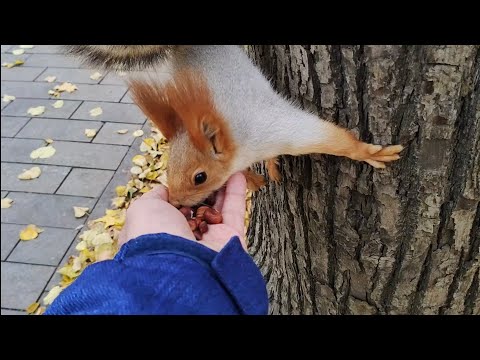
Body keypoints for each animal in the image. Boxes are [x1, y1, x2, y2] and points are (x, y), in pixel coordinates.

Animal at [62, 46, 402, 207]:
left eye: (200, 177)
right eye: (168, 168)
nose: (175, 202)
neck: (240, 146)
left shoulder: (276, 129)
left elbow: (331, 139)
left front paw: (368, 153)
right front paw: (253, 177)